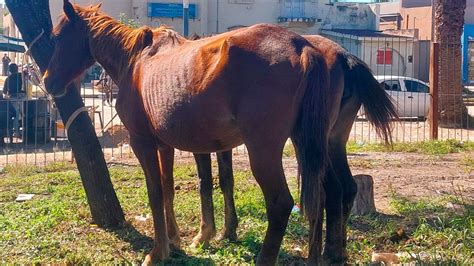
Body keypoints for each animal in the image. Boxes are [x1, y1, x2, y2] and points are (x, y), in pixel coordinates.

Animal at [44, 1, 334, 264]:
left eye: (57, 37)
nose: (47, 80)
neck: (134, 62)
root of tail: (301, 46)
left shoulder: (142, 142)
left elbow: (155, 193)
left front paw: (157, 252)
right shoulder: (164, 145)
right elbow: (167, 188)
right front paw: (173, 240)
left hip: (262, 150)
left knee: (280, 203)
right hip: (303, 142)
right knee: (318, 199)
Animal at [187, 34, 398, 264]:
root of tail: (343, 56)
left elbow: (207, 181)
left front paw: (210, 234)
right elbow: (226, 179)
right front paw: (228, 230)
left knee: (328, 192)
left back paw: (327, 253)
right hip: (332, 141)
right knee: (345, 187)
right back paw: (337, 252)